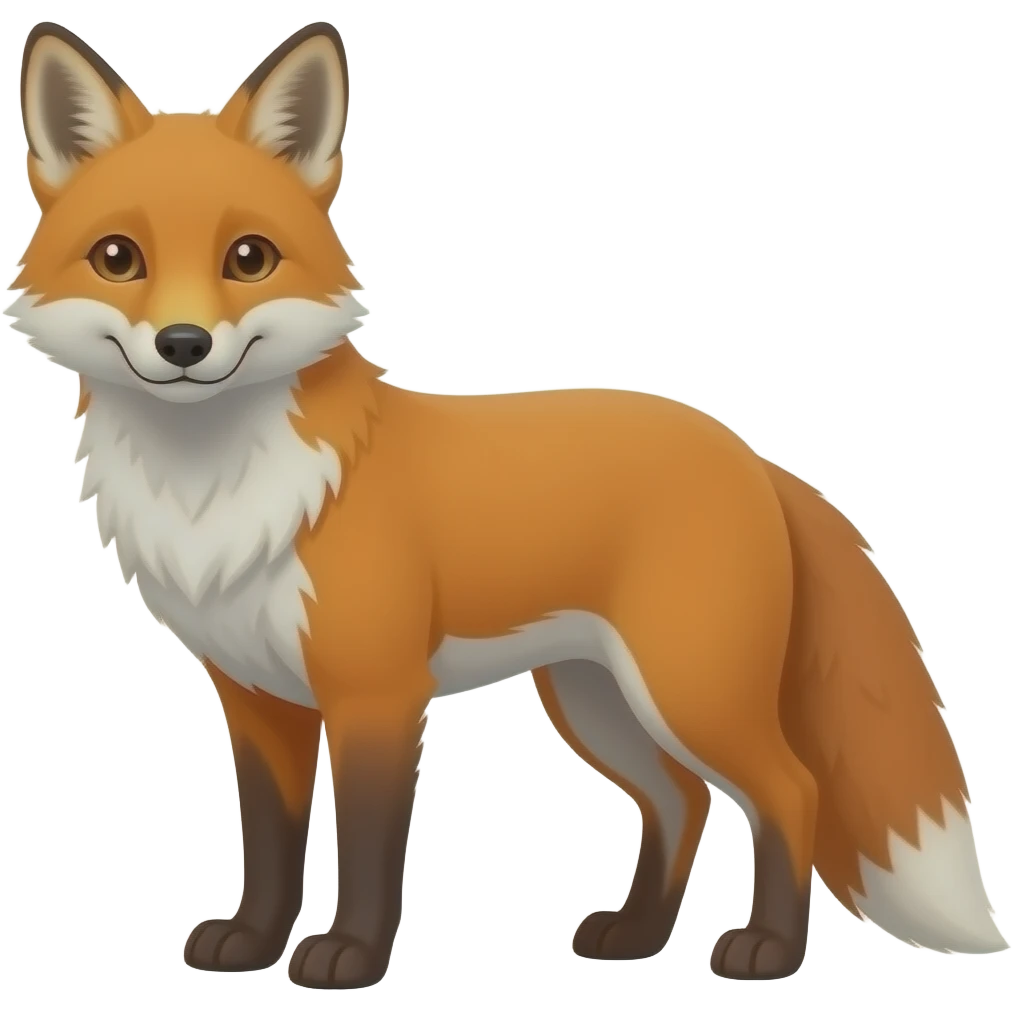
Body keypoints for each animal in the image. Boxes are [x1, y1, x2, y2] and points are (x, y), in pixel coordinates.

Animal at [7, 18, 1008, 991]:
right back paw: (637, 933)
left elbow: (366, 849)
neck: (216, 489)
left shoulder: (377, 694)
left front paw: (350, 958)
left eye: (247, 257)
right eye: (118, 258)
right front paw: (253, 944)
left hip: (690, 690)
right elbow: (271, 845)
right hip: (598, 700)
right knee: (681, 798)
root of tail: (750, 454)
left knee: (790, 791)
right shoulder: (258, 700)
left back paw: (768, 950)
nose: (183, 344)